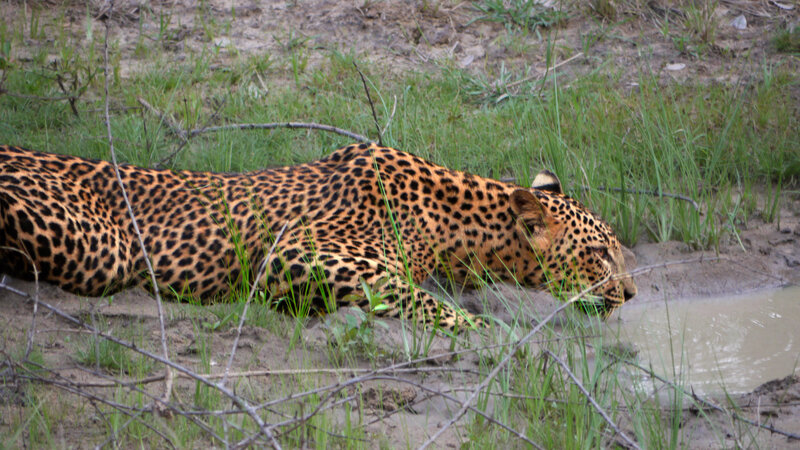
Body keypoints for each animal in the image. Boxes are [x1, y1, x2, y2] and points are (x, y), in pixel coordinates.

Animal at [0, 142, 636, 331]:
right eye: (599, 255)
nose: (631, 295)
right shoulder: (296, 254)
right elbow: (417, 296)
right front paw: (488, 333)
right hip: (100, 249)